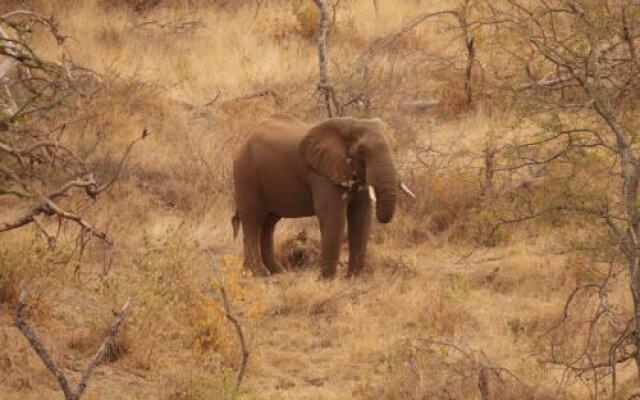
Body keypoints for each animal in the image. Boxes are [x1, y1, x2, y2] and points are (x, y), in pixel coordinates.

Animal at [230, 113, 416, 278]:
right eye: (362, 151)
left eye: (395, 148)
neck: (353, 124)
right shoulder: (321, 173)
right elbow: (333, 216)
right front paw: (326, 280)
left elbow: (361, 216)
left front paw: (354, 279)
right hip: (245, 174)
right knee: (253, 220)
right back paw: (258, 274)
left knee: (269, 223)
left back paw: (276, 272)